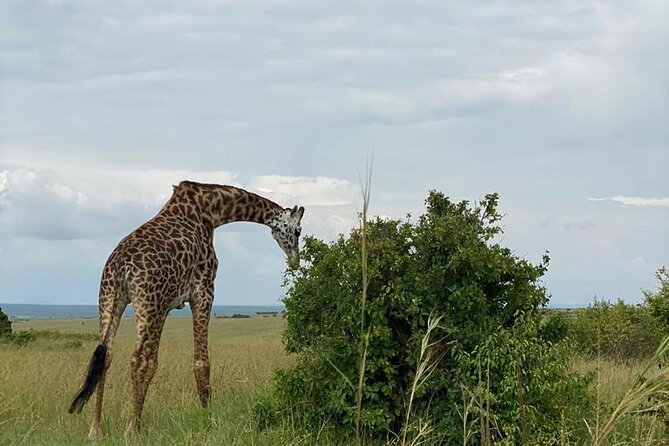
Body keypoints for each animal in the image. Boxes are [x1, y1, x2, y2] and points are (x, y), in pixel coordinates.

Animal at [67, 182, 302, 440]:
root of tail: (122, 267)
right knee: (142, 361)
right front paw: (208, 419)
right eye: (298, 231)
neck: (214, 210)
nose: (295, 259)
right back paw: (132, 430)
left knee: (106, 355)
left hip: (109, 299)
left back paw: (95, 430)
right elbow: (202, 362)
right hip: (152, 305)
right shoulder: (204, 289)